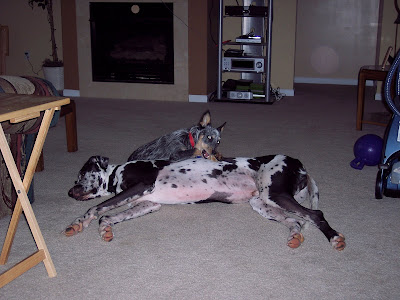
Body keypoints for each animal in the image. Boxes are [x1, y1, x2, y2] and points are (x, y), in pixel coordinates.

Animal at [66, 155, 346, 251]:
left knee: (316, 214)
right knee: (296, 221)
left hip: (275, 194)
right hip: (262, 202)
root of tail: (300, 164)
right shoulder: (148, 203)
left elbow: (96, 207)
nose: (69, 192)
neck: (117, 173)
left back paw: (334, 238)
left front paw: (80, 221)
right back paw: (295, 237)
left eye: (80, 174)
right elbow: (108, 215)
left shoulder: (141, 185)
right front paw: (105, 228)